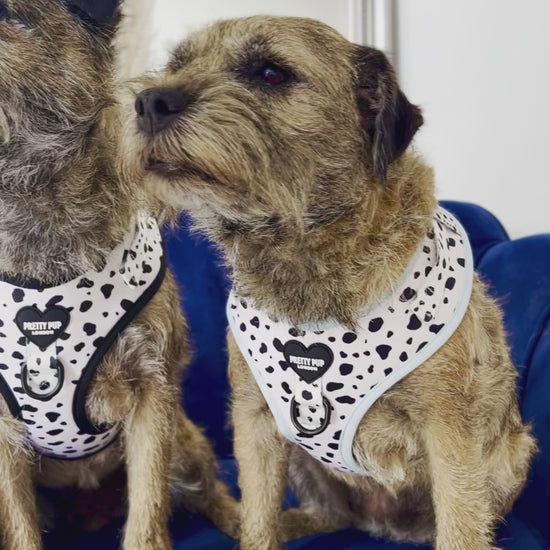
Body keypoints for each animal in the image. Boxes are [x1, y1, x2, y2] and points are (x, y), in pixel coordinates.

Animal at [0, 2, 238, 548]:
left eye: (4, 14)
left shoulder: (152, 392)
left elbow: (148, 505)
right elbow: (18, 524)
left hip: (185, 441)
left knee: (210, 489)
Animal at [122, 15, 540, 548]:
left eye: (271, 73)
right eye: (176, 64)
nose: (149, 102)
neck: (304, 254)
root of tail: (383, 523)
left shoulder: (450, 436)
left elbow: (461, 528)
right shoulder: (256, 423)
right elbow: (259, 514)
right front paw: (256, 528)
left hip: (510, 454)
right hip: (302, 458)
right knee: (328, 514)